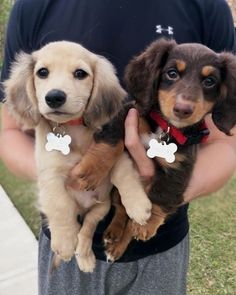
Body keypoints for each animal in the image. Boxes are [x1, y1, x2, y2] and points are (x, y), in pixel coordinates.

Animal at [4, 41, 152, 272]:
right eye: (42, 72)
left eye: (80, 73)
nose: (55, 97)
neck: (73, 130)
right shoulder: (50, 174)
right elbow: (60, 205)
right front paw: (64, 243)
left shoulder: (113, 154)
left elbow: (124, 175)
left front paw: (137, 204)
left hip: (101, 207)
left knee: (87, 229)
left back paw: (85, 256)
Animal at [103, 37, 236, 262]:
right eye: (172, 73)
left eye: (210, 81)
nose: (183, 109)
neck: (166, 129)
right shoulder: (128, 113)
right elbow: (109, 142)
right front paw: (89, 170)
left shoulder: (180, 168)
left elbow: (161, 195)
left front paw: (147, 224)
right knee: (121, 207)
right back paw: (113, 233)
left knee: (129, 218)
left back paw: (118, 246)